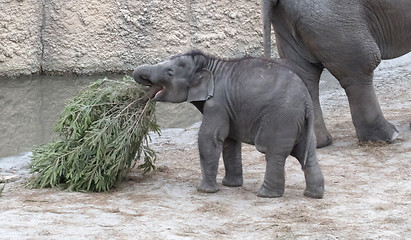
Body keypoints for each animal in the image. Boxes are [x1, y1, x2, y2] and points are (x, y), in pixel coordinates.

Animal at [134, 49, 326, 198]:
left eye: (169, 73)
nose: (144, 97)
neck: (209, 63)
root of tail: (307, 101)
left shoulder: (217, 103)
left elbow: (209, 137)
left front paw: (204, 191)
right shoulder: (228, 106)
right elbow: (230, 141)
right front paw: (230, 185)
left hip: (281, 119)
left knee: (273, 153)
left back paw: (266, 194)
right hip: (300, 123)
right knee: (307, 153)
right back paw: (313, 195)